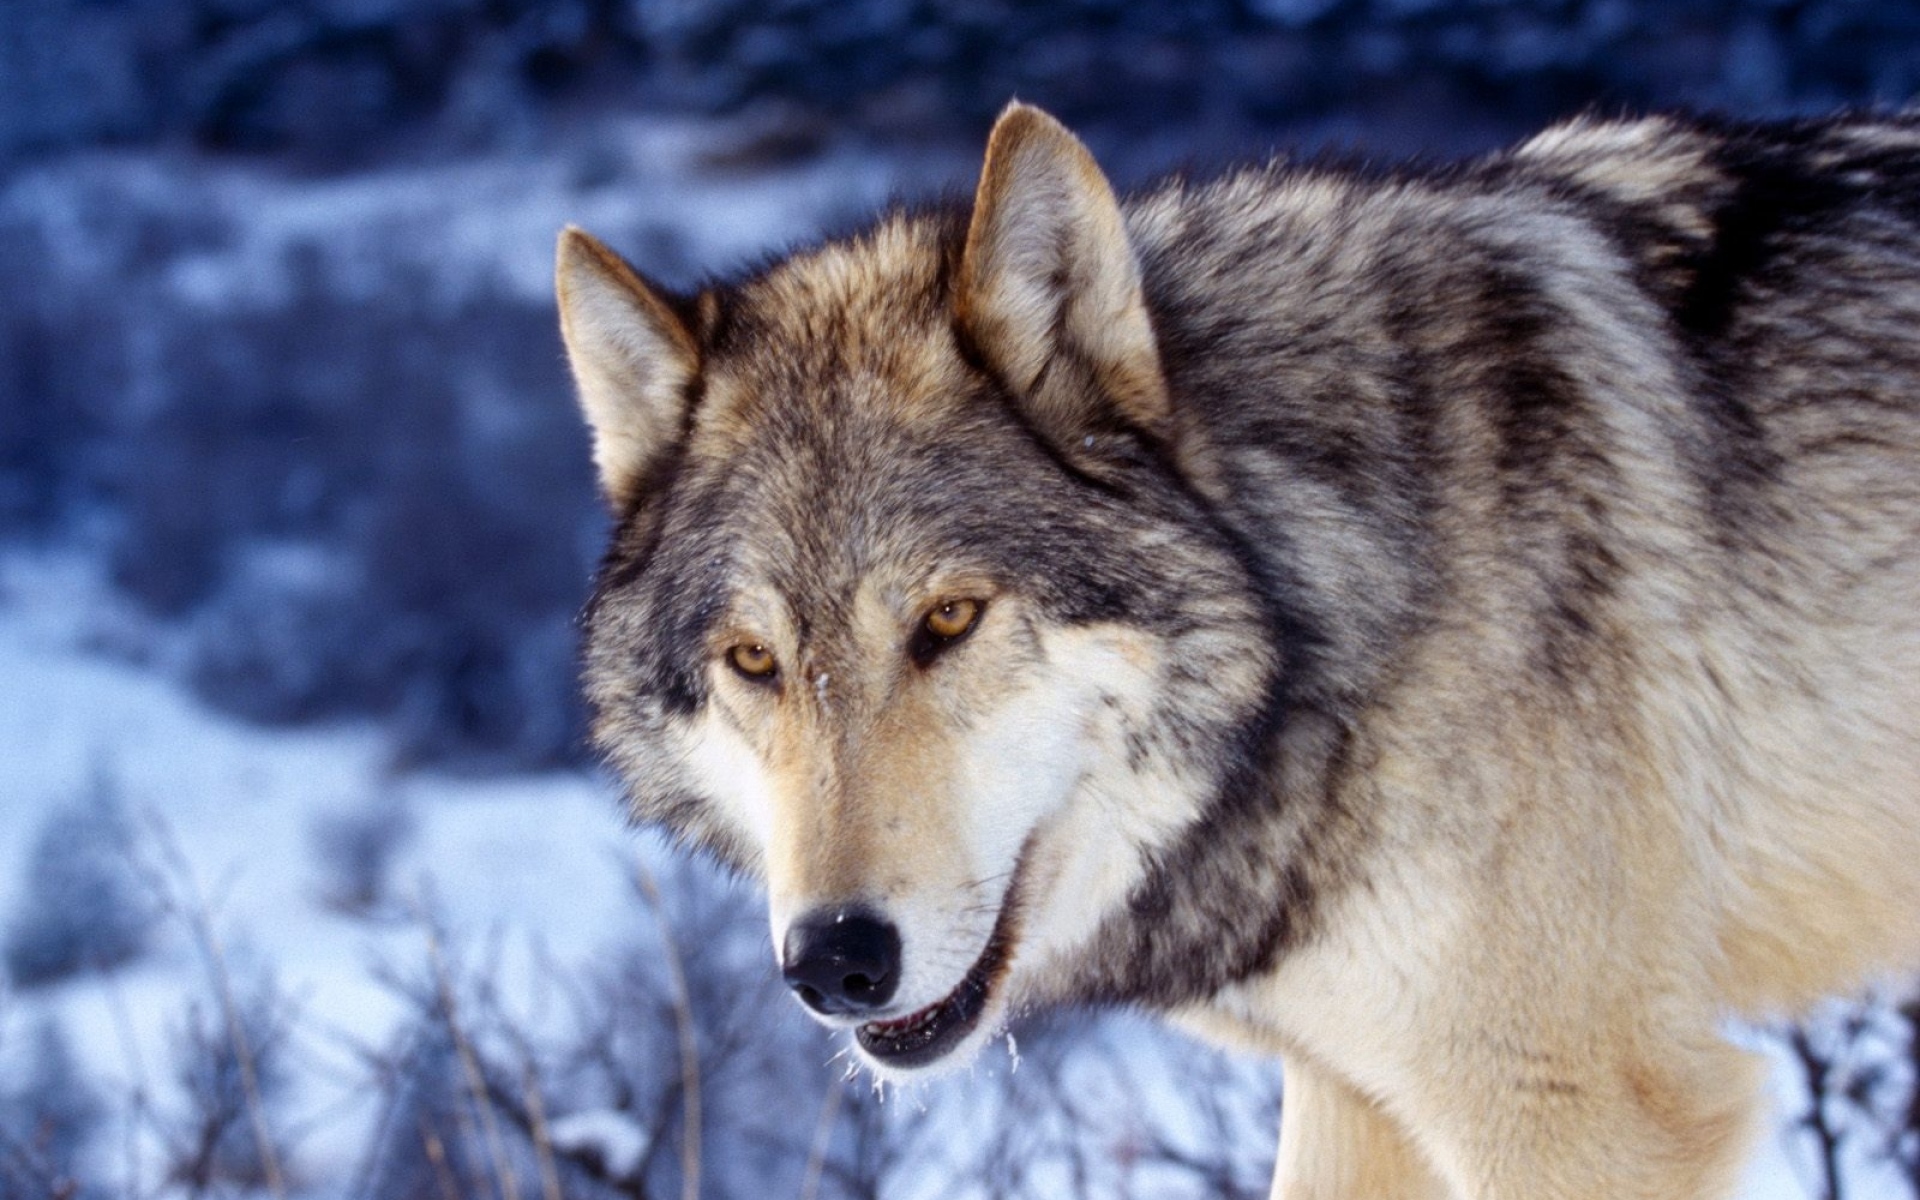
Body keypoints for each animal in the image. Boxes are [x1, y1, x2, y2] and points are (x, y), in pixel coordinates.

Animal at [555, 102, 1920, 1198]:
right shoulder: (1358, 1093)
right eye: (753, 661)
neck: (1335, 603)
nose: (834, 961)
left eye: (948, 619)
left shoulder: (1580, 1115)